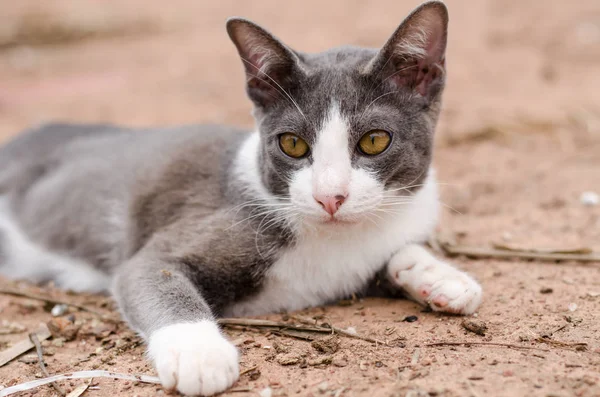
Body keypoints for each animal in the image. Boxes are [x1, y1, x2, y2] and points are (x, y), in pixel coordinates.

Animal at [0, 1, 480, 394]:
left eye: (375, 141)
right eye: (292, 145)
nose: (330, 197)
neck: (336, 242)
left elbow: (400, 249)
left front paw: (443, 277)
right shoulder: (180, 236)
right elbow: (154, 273)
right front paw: (198, 352)